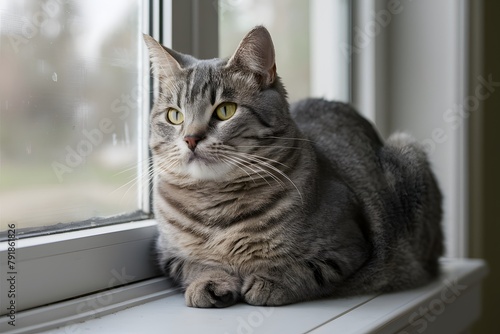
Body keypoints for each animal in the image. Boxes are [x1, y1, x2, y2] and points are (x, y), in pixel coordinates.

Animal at [143, 26, 444, 308]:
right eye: (174, 116)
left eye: (225, 111)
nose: (190, 138)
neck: (216, 210)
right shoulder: (167, 253)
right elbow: (193, 265)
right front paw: (208, 282)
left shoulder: (348, 245)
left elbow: (305, 268)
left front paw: (270, 282)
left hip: (407, 150)